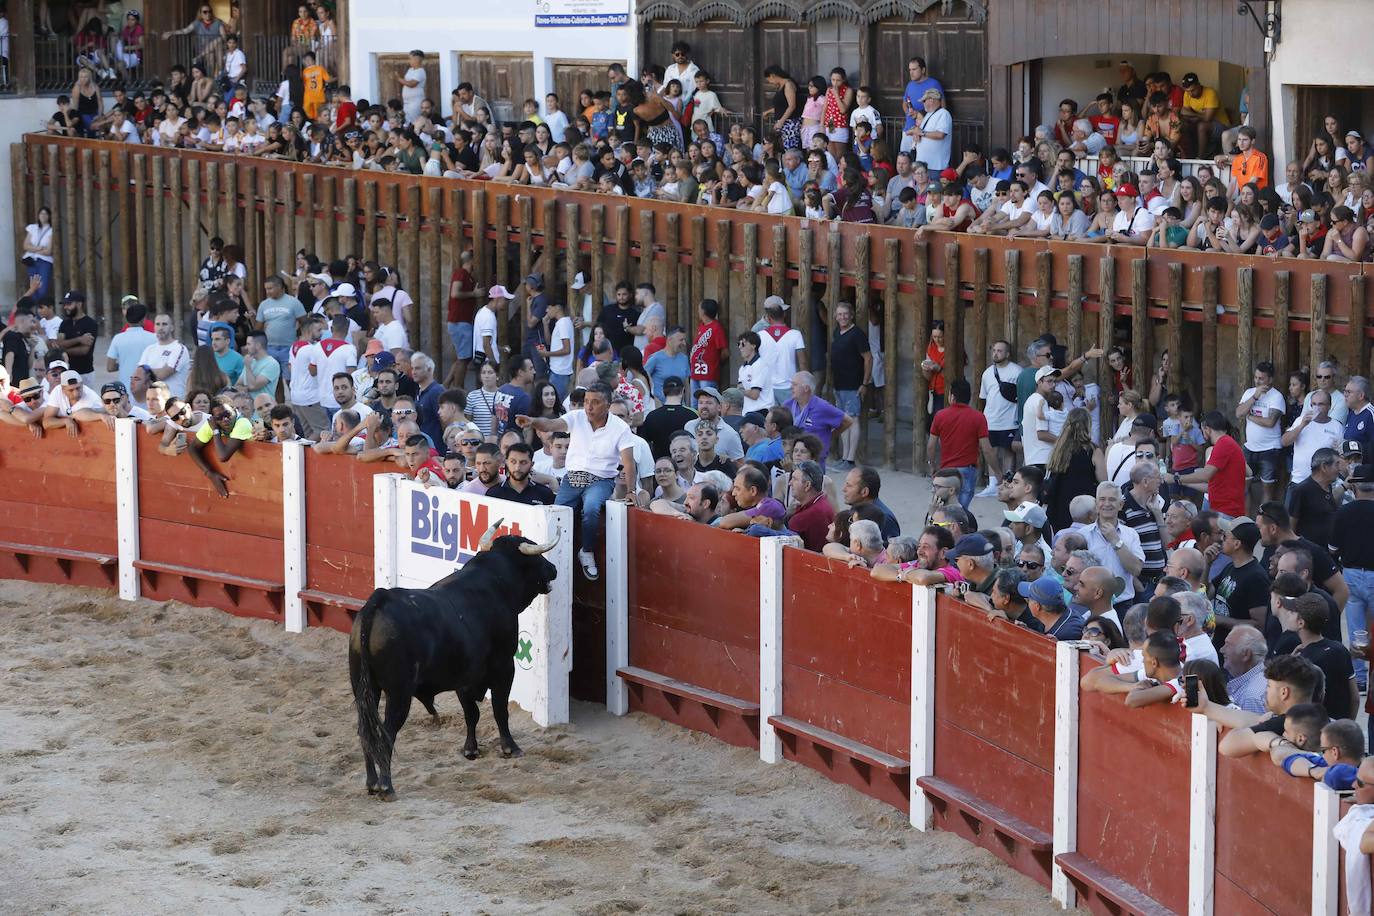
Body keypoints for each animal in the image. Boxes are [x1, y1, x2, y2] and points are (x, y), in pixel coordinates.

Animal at [348, 521, 557, 802]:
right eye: (535, 558)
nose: (553, 568)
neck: (495, 582)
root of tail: (378, 601)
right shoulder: (504, 666)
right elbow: (499, 709)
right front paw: (510, 748)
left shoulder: (464, 676)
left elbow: (471, 713)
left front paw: (471, 750)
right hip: (399, 693)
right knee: (386, 733)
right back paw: (386, 787)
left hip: (364, 688)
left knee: (365, 731)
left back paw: (371, 783)